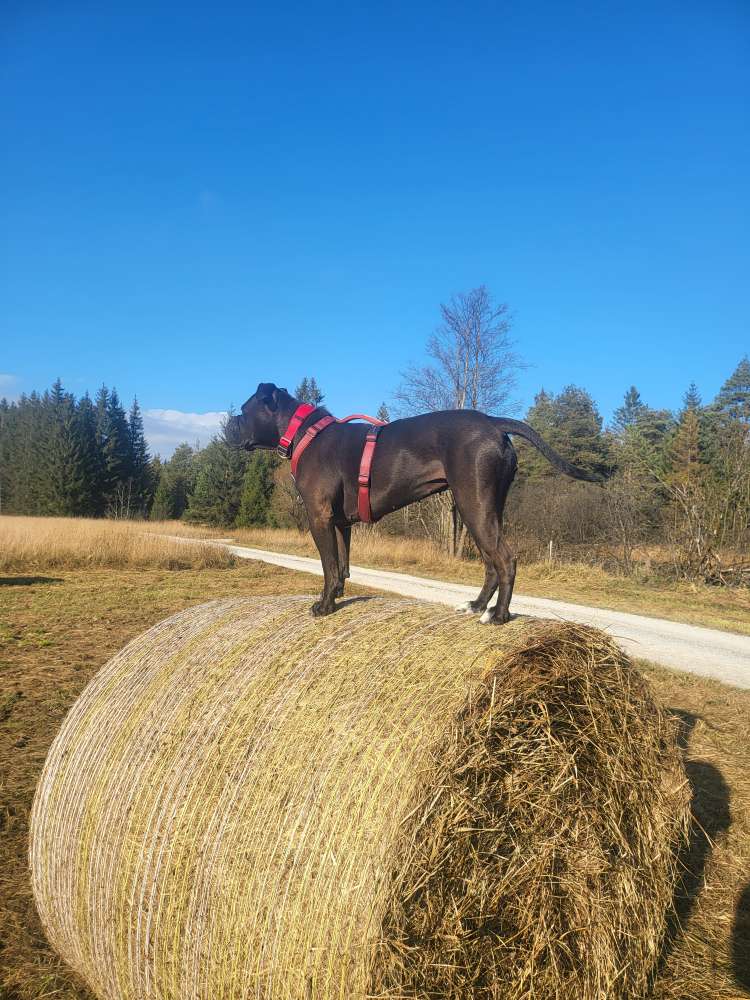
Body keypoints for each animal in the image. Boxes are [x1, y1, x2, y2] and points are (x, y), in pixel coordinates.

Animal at [226, 384, 604, 624]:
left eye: (244, 410)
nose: (228, 422)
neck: (304, 433)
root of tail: (492, 421)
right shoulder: (341, 523)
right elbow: (342, 565)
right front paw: (338, 596)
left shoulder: (318, 517)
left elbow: (328, 565)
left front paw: (324, 606)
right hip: (480, 508)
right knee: (490, 562)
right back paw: (477, 606)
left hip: (474, 505)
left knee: (505, 560)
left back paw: (498, 616)